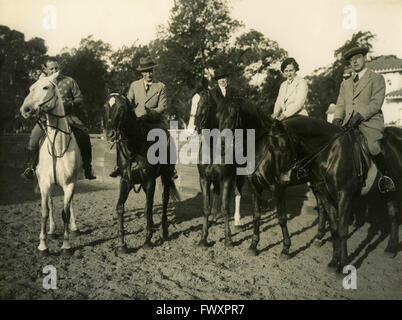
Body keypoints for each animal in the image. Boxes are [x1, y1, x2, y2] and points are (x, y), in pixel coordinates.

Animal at [20, 72, 81, 255]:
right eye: (31, 88)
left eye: (46, 87)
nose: (25, 110)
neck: (58, 146)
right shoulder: (45, 183)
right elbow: (45, 212)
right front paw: (43, 245)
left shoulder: (69, 183)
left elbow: (65, 212)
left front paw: (66, 245)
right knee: (50, 204)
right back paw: (52, 231)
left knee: (69, 204)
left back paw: (74, 228)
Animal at [103, 94, 179, 254]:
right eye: (105, 106)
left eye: (121, 107)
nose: (110, 134)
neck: (134, 148)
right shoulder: (125, 181)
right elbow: (120, 207)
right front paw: (122, 244)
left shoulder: (150, 181)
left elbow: (147, 210)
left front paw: (147, 241)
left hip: (166, 176)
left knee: (164, 201)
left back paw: (164, 231)